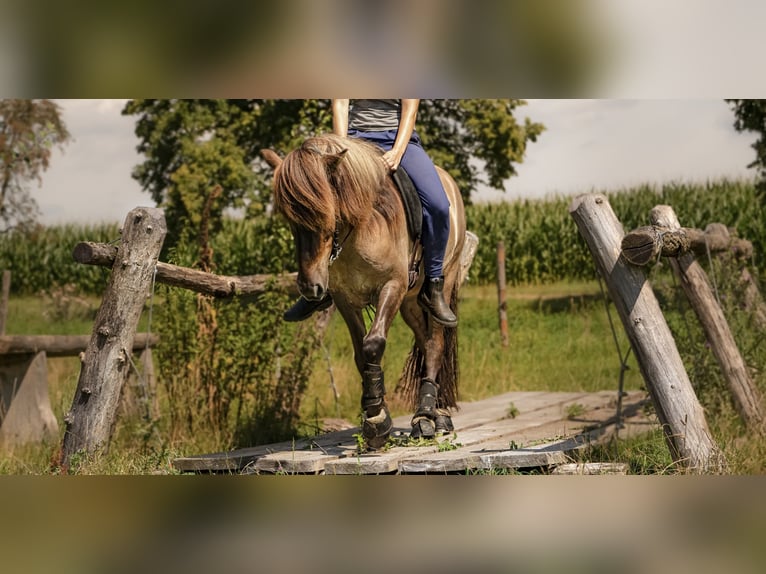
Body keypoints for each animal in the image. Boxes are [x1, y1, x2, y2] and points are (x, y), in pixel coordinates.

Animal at [264, 134, 468, 450]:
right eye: (290, 222)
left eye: (326, 214)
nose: (310, 287)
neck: (361, 229)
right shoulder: (345, 299)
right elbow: (362, 354)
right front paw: (376, 417)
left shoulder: (392, 286)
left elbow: (373, 344)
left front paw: (376, 420)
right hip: (410, 303)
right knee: (425, 344)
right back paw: (438, 413)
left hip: (441, 285)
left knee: (435, 344)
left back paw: (425, 418)